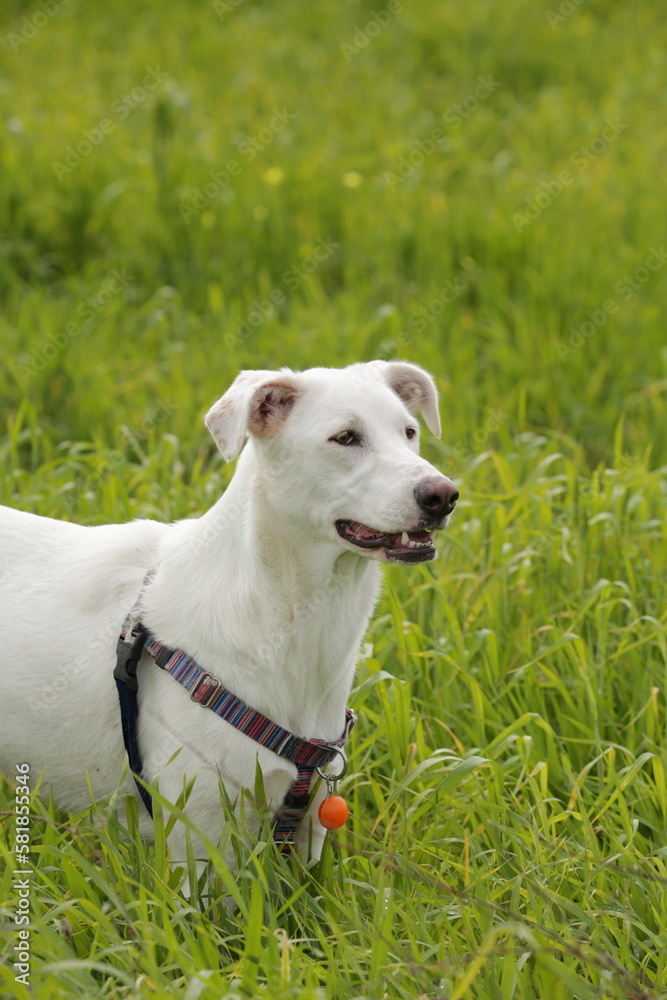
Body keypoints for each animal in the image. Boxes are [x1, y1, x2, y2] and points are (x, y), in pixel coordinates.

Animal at [0, 362, 460, 876]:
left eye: (409, 433)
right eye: (345, 437)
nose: (444, 495)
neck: (284, 615)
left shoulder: (307, 826)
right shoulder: (200, 838)